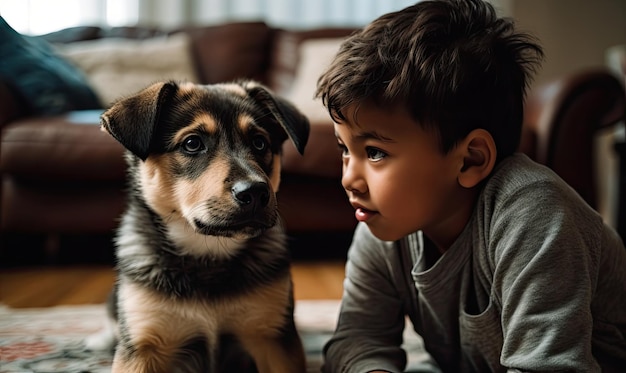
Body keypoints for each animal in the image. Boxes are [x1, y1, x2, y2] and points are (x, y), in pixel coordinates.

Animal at [91, 80, 310, 372]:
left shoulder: (274, 338)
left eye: (260, 142)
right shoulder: (142, 346)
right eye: (192, 143)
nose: (255, 192)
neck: (208, 253)